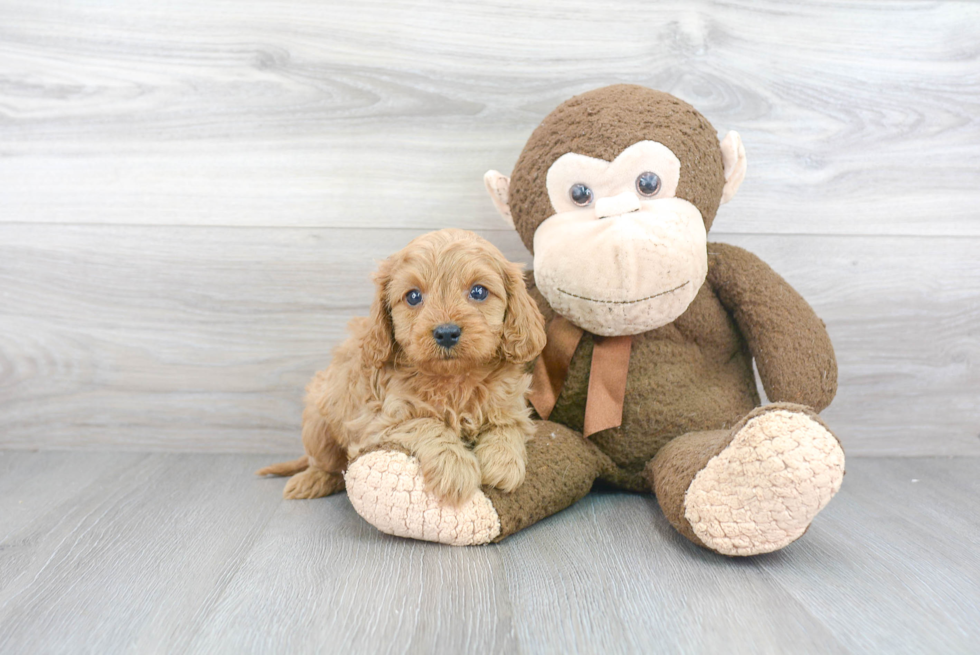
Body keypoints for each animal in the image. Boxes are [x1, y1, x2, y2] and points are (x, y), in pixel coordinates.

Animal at [260, 231, 548, 508]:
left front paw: (503, 463)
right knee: (326, 465)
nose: (446, 333)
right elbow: (426, 423)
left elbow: (507, 425)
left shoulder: (513, 405)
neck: (453, 379)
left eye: (478, 292)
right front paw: (454, 468)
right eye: (413, 296)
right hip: (319, 425)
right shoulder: (381, 419)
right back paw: (310, 480)